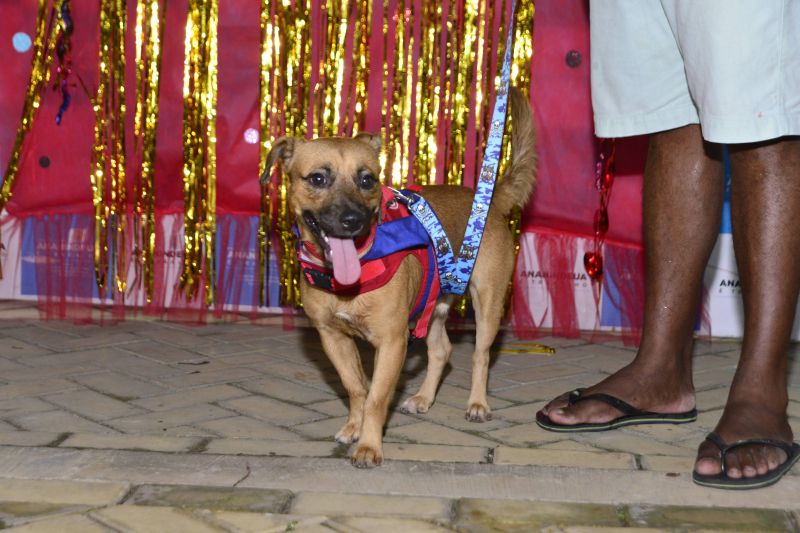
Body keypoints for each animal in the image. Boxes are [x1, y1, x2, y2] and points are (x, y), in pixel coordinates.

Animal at [264, 87, 536, 466]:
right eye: (318, 178)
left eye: (367, 179)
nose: (353, 220)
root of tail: (488, 201)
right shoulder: (333, 338)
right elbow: (356, 388)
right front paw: (354, 427)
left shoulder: (392, 342)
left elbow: (377, 398)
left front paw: (369, 444)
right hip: (432, 304)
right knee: (442, 351)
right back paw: (423, 398)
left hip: (488, 304)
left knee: (480, 355)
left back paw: (477, 403)